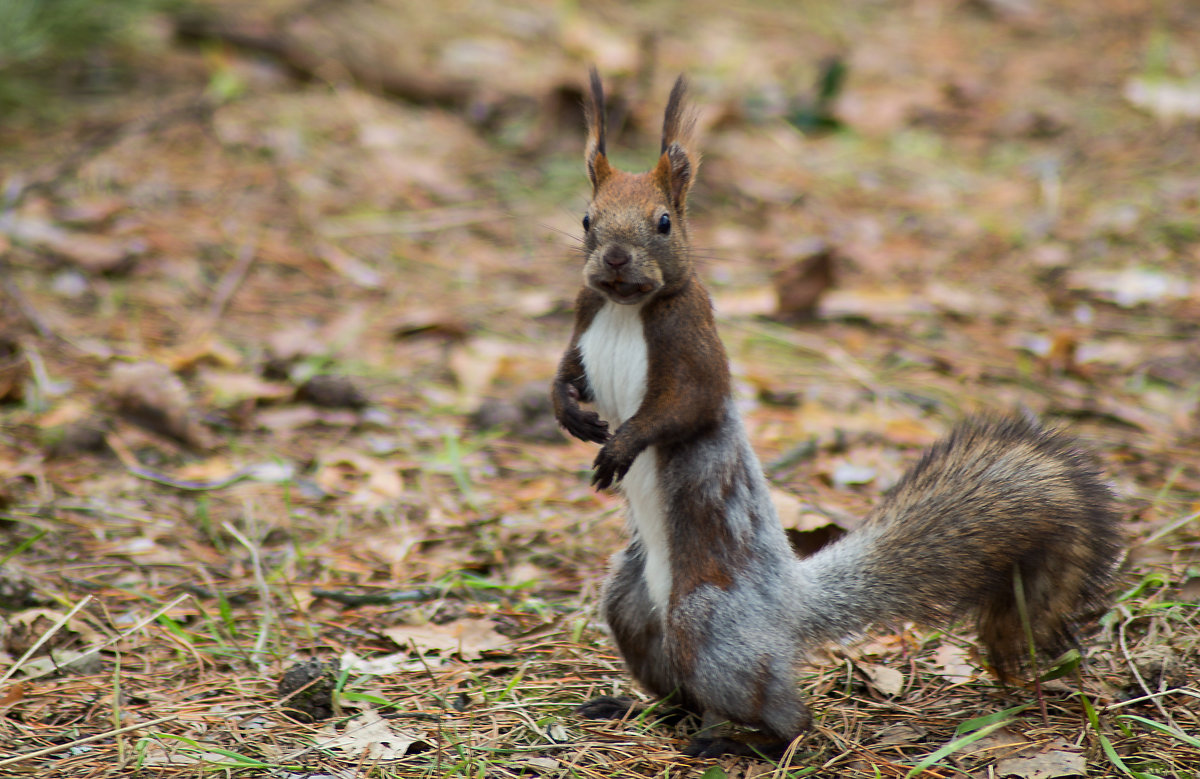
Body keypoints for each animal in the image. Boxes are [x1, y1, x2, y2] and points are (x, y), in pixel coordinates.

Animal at [552, 69, 1123, 758]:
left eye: (664, 222)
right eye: (587, 219)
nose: (613, 258)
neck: (624, 308)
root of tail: (790, 605)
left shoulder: (695, 354)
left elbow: (681, 409)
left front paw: (621, 445)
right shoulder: (584, 322)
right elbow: (568, 372)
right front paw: (567, 411)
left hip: (707, 617)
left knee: (785, 716)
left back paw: (737, 742)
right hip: (631, 606)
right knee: (677, 684)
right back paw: (638, 709)